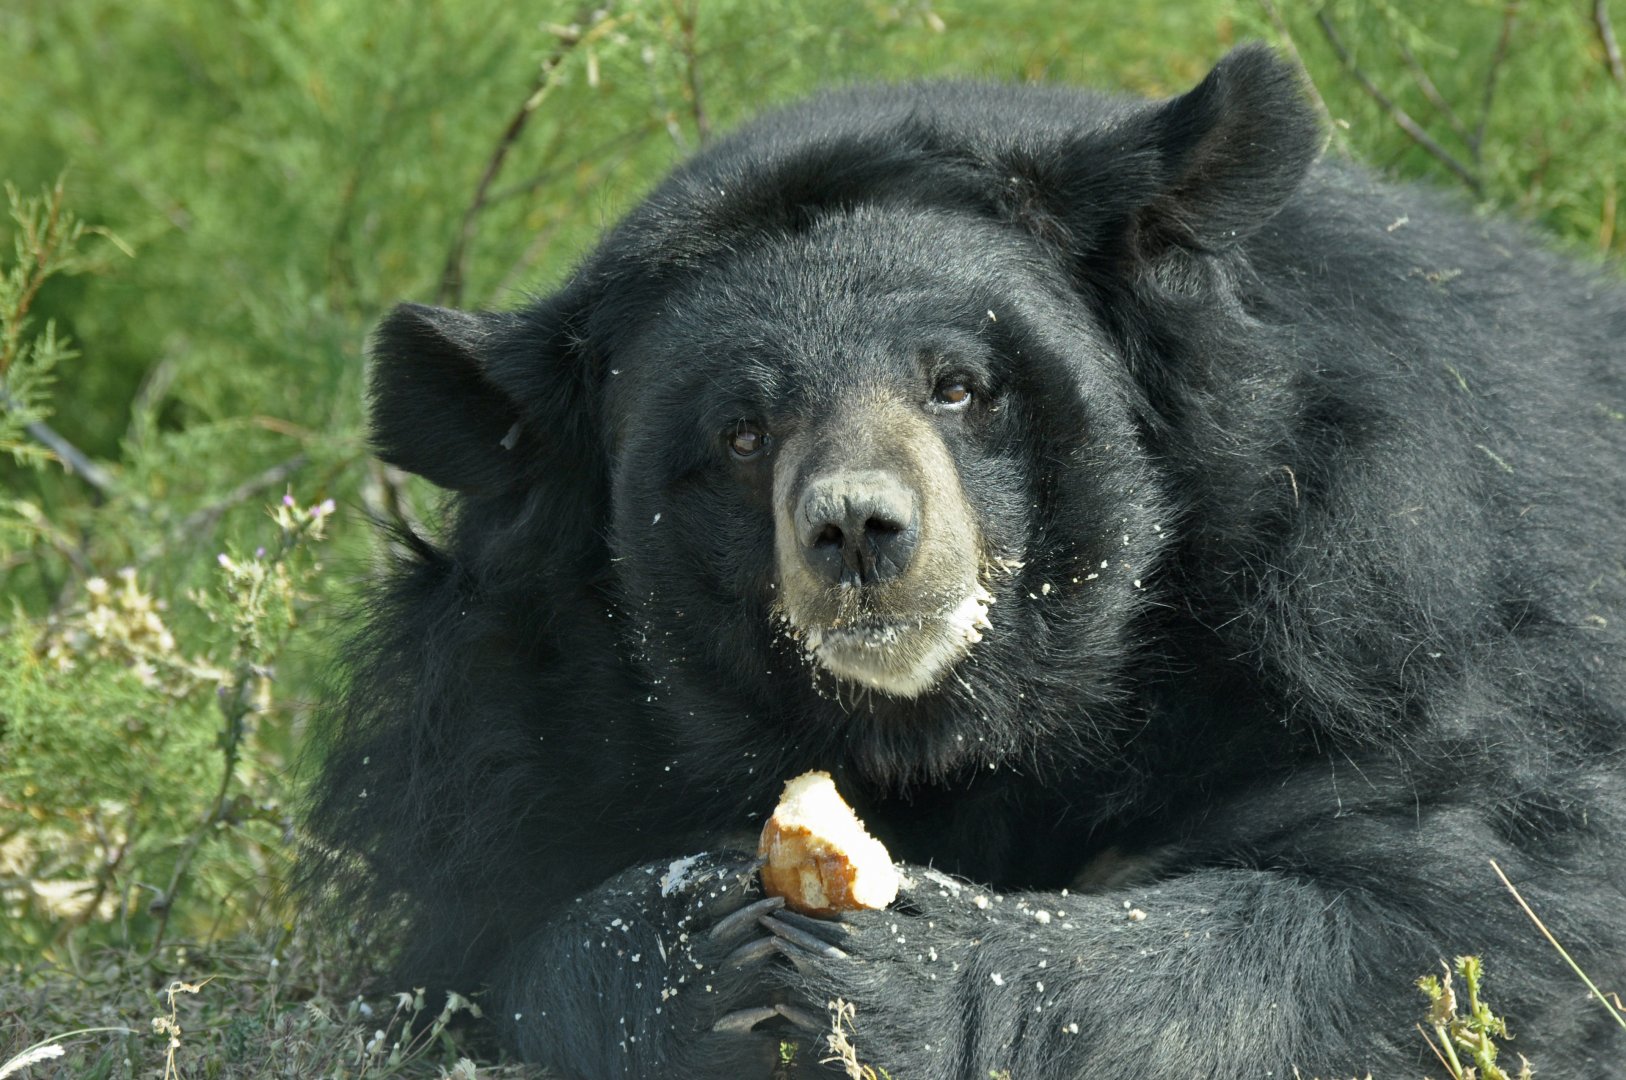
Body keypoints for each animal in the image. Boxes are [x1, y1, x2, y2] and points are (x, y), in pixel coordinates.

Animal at [303, 45, 1626, 1078]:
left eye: (959, 385)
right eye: (740, 433)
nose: (857, 531)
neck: (969, 730)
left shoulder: (1382, 596)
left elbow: (1460, 898)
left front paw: (900, 966)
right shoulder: (518, 716)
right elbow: (507, 931)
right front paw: (698, 959)